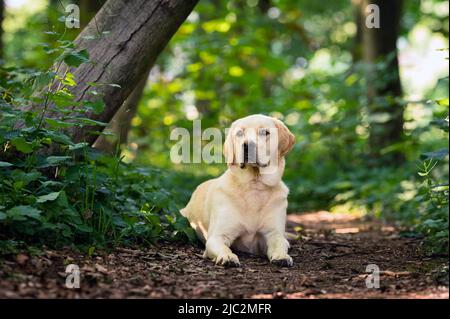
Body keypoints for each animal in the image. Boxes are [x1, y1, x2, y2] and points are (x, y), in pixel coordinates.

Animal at [179, 115, 296, 268]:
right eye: (240, 133)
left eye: (265, 132)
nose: (246, 145)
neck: (254, 186)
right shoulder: (217, 236)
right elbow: (224, 247)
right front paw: (228, 256)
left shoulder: (274, 234)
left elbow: (279, 244)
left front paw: (282, 256)